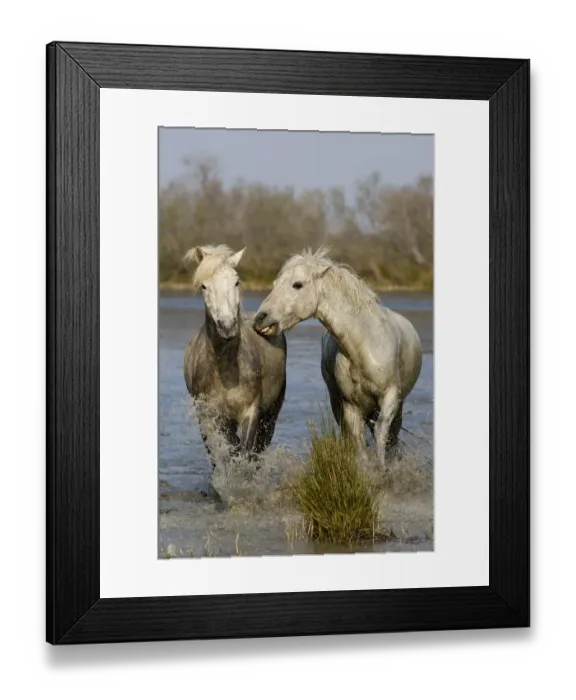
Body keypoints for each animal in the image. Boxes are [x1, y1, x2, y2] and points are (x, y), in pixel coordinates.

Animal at [183, 245, 287, 468]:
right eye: (204, 286)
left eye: (236, 281)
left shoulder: (251, 411)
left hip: (271, 413)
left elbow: (244, 453)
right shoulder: (211, 416)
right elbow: (226, 451)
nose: (227, 325)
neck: (226, 369)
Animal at [252, 247, 422, 470]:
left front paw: (384, 469)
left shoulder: (391, 397)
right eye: (274, 284)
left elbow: (381, 435)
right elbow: (359, 445)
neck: (364, 344)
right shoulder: (351, 406)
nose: (260, 318)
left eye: (297, 285)